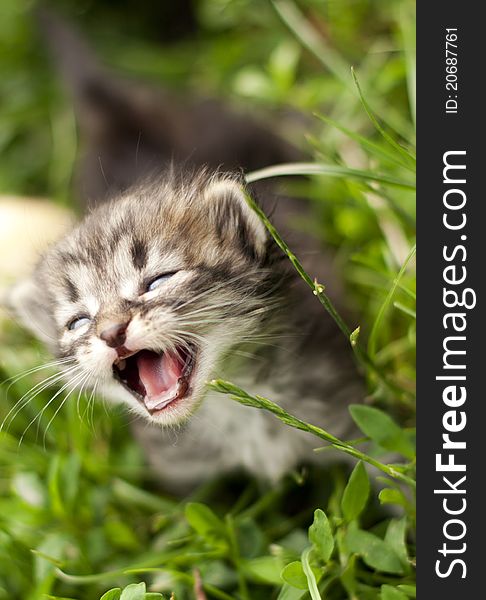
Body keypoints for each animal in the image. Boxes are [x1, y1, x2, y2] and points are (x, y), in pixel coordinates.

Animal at [4, 9, 360, 490]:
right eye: (77, 322)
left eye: (157, 281)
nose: (111, 332)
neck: (232, 403)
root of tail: (114, 108)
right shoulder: (182, 473)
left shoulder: (349, 411)